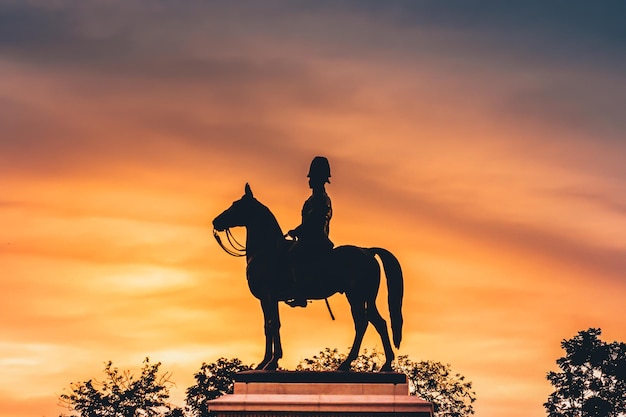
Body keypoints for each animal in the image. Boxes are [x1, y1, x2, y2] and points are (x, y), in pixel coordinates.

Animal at [212, 183, 402, 370]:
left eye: (237, 205)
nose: (216, 221)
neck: (266, 251)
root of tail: (368, 251)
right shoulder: (265, 300)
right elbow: (268, 326)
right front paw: (264, 362)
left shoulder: (269, 296)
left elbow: (274, 324)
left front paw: (273, 361)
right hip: (367, 298)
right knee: (379, 322)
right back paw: (386, 364)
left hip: (355, 296)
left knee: (362, 323)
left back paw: (347, 363)